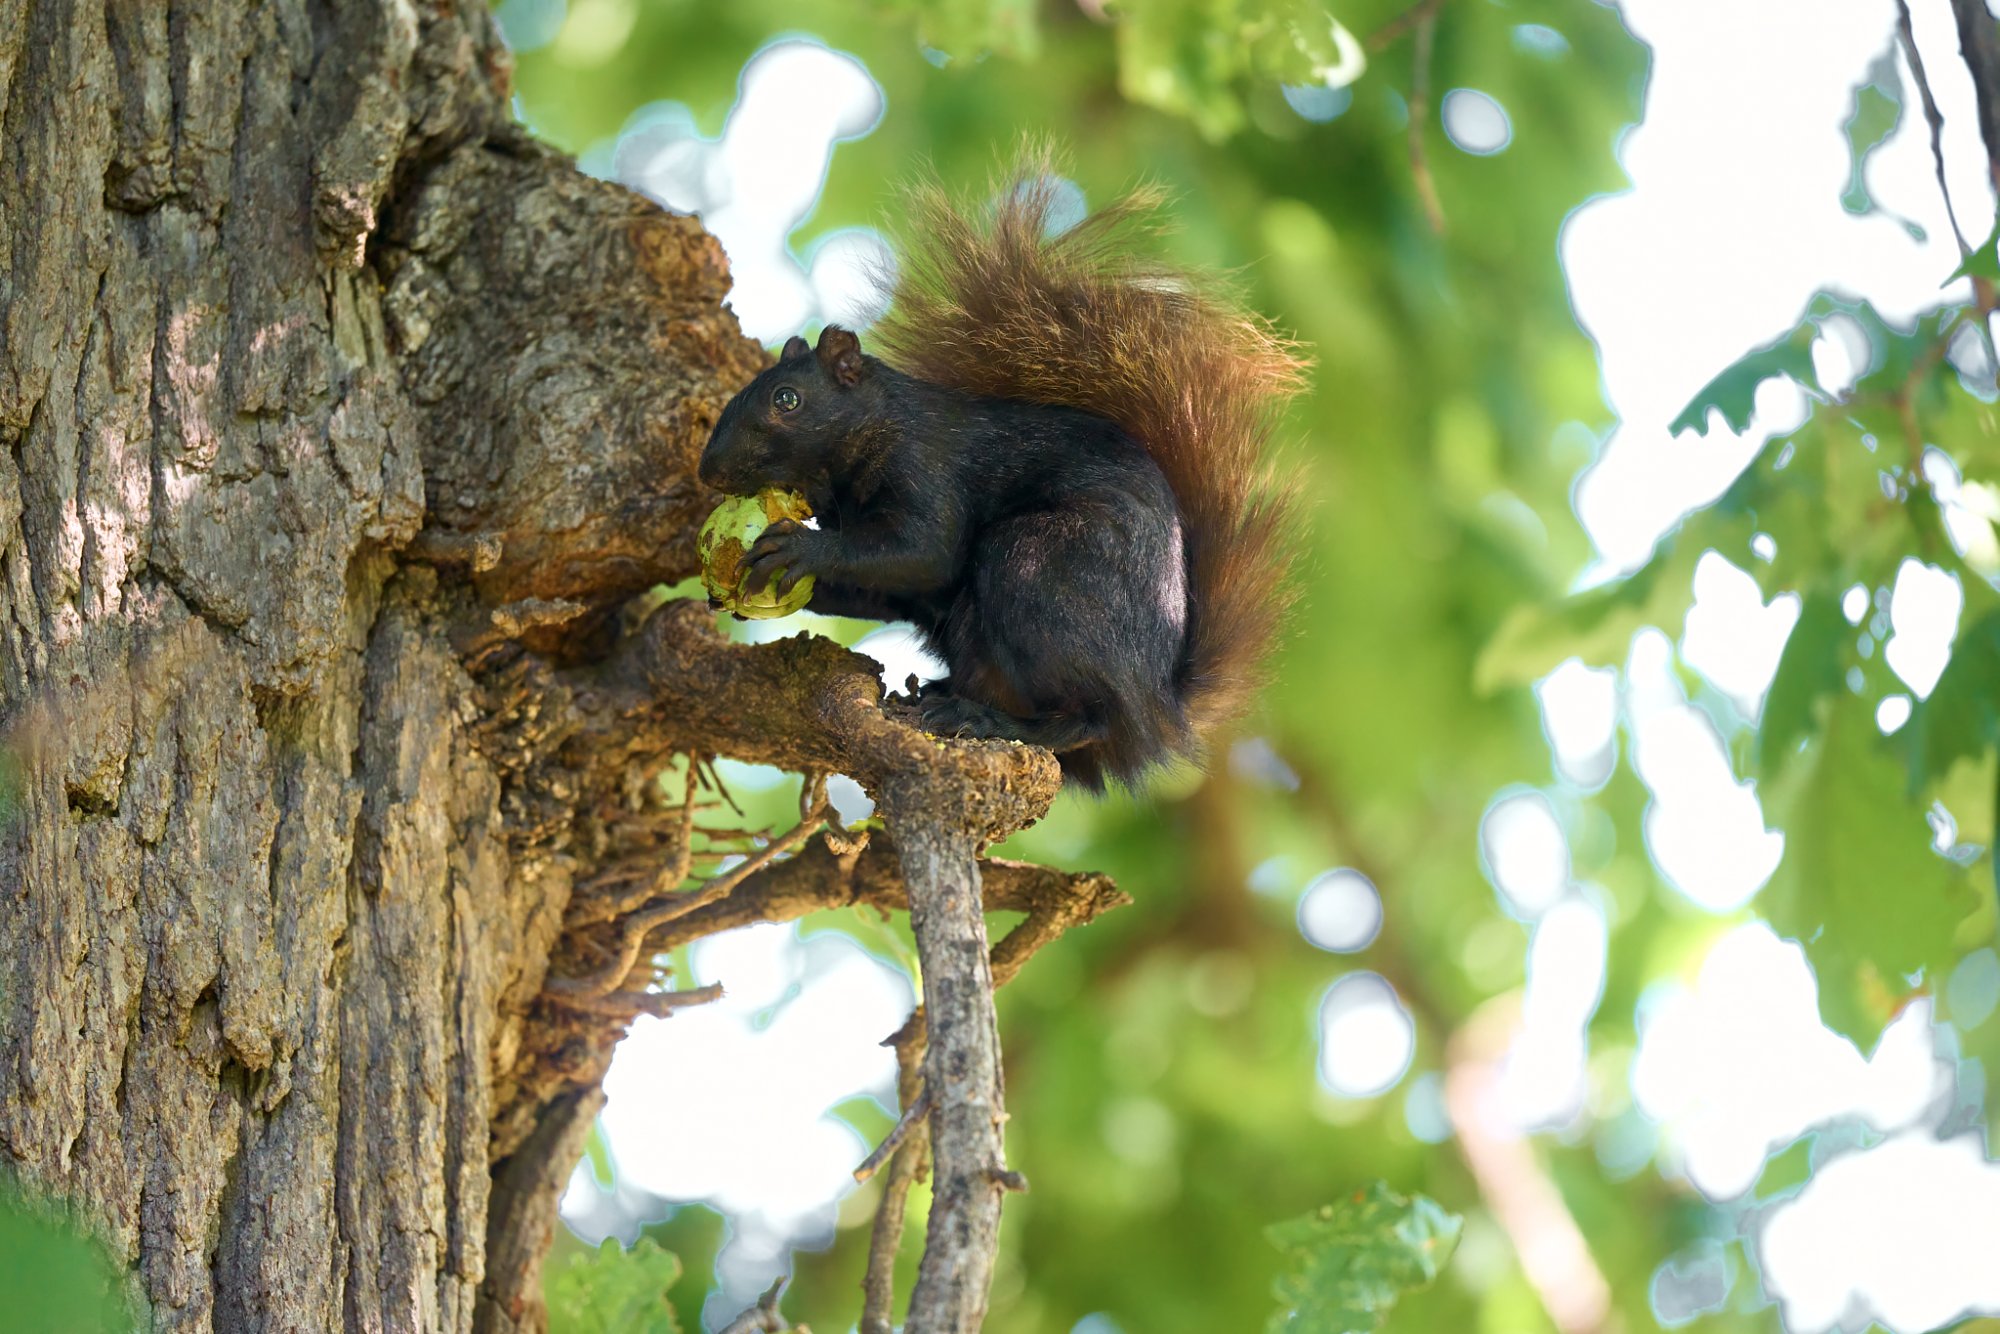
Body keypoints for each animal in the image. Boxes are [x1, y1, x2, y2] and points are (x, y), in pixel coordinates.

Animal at [696, 160, 1304, 788]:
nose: (709, 470)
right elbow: (878, 587)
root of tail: (1157, 709)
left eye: (787, 399)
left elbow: (925, 550)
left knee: (1087, 717)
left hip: (1038, 571)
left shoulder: (928, 465)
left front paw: (799, 549)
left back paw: (983, 718)